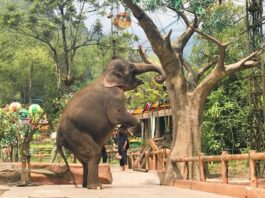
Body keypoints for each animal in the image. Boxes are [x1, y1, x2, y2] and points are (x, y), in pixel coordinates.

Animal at [56, 58, 165, 189]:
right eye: (132, 67)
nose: (158, 77)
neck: (105, 75)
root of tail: (58, 136)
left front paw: (123, 129)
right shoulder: (114, 95)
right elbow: (117, 115)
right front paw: (125, 129)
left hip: (72, 141)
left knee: (85, 160)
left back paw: (86, 185)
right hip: (75, 133)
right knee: (94, 154)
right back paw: (96, 187)